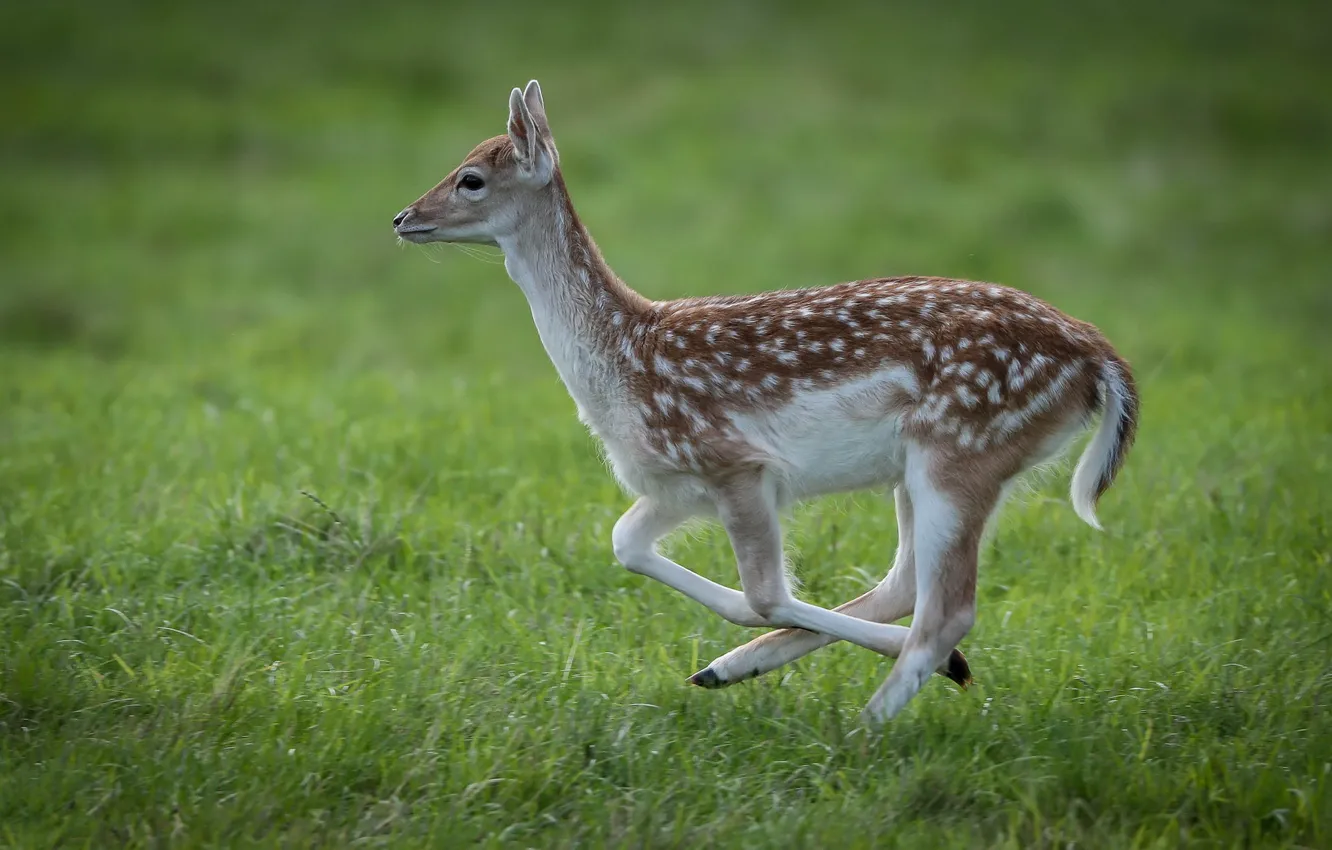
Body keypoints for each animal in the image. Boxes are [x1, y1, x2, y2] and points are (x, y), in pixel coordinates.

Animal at [392, 80, 1139, 724]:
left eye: (470, 178)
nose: (402, 218)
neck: (625, 361)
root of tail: (1097, 357)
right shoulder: (676, 481)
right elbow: (625, 545)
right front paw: (719, 664)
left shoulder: (735, 462)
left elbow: (765, 594)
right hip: (925, 464)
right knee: (909, 588)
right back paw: (738, 670)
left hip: (963, 446)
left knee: (945, 610)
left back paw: (866, 728)